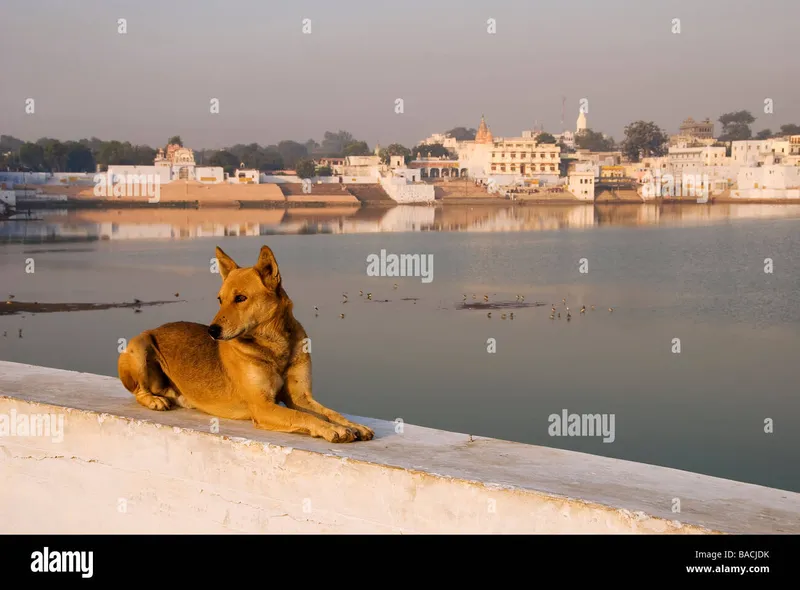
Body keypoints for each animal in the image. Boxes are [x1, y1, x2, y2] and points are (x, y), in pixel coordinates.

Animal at [118, 245, 376, 444]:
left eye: (241, 298)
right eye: (220, 299)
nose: (212, 331)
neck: (274, 346)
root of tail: (155, 328)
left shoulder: (300, 398)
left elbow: (329, 412)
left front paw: (352, 425)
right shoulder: (262, 406)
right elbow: (304, 417)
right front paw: (333, 429)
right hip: (138, 346)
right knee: (139, 391)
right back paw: (154, 400)